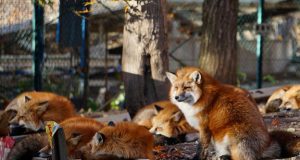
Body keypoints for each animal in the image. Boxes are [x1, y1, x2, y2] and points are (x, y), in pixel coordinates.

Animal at [166, 67, 300, 159]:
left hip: (233, 133)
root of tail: (267, 144)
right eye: (176, 88)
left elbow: (201, 148)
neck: (202, 97)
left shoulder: (204, 128)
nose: (176, 97)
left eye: (186, 87)